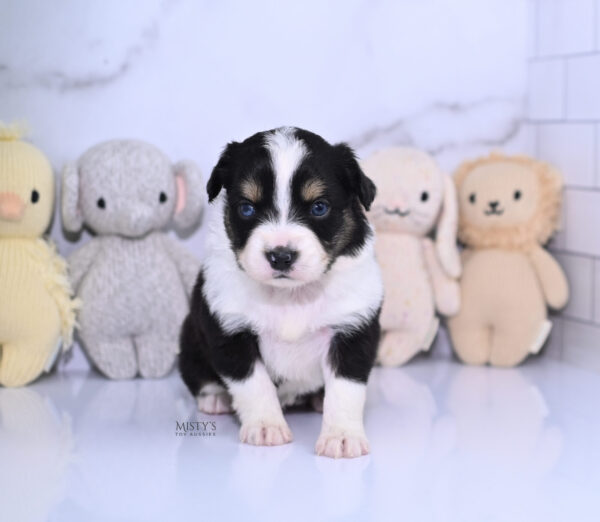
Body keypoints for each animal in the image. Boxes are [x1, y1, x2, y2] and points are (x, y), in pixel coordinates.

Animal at [180, 128, 382, 458]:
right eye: (247, 208)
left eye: (319, 207)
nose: (281, 256)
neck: (291, 295)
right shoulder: (230, 330)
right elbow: (253, 383)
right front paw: (266, 427)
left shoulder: (353, 329)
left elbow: (345, 389)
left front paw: (341, 436)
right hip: (189, 337)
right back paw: (215, 397)